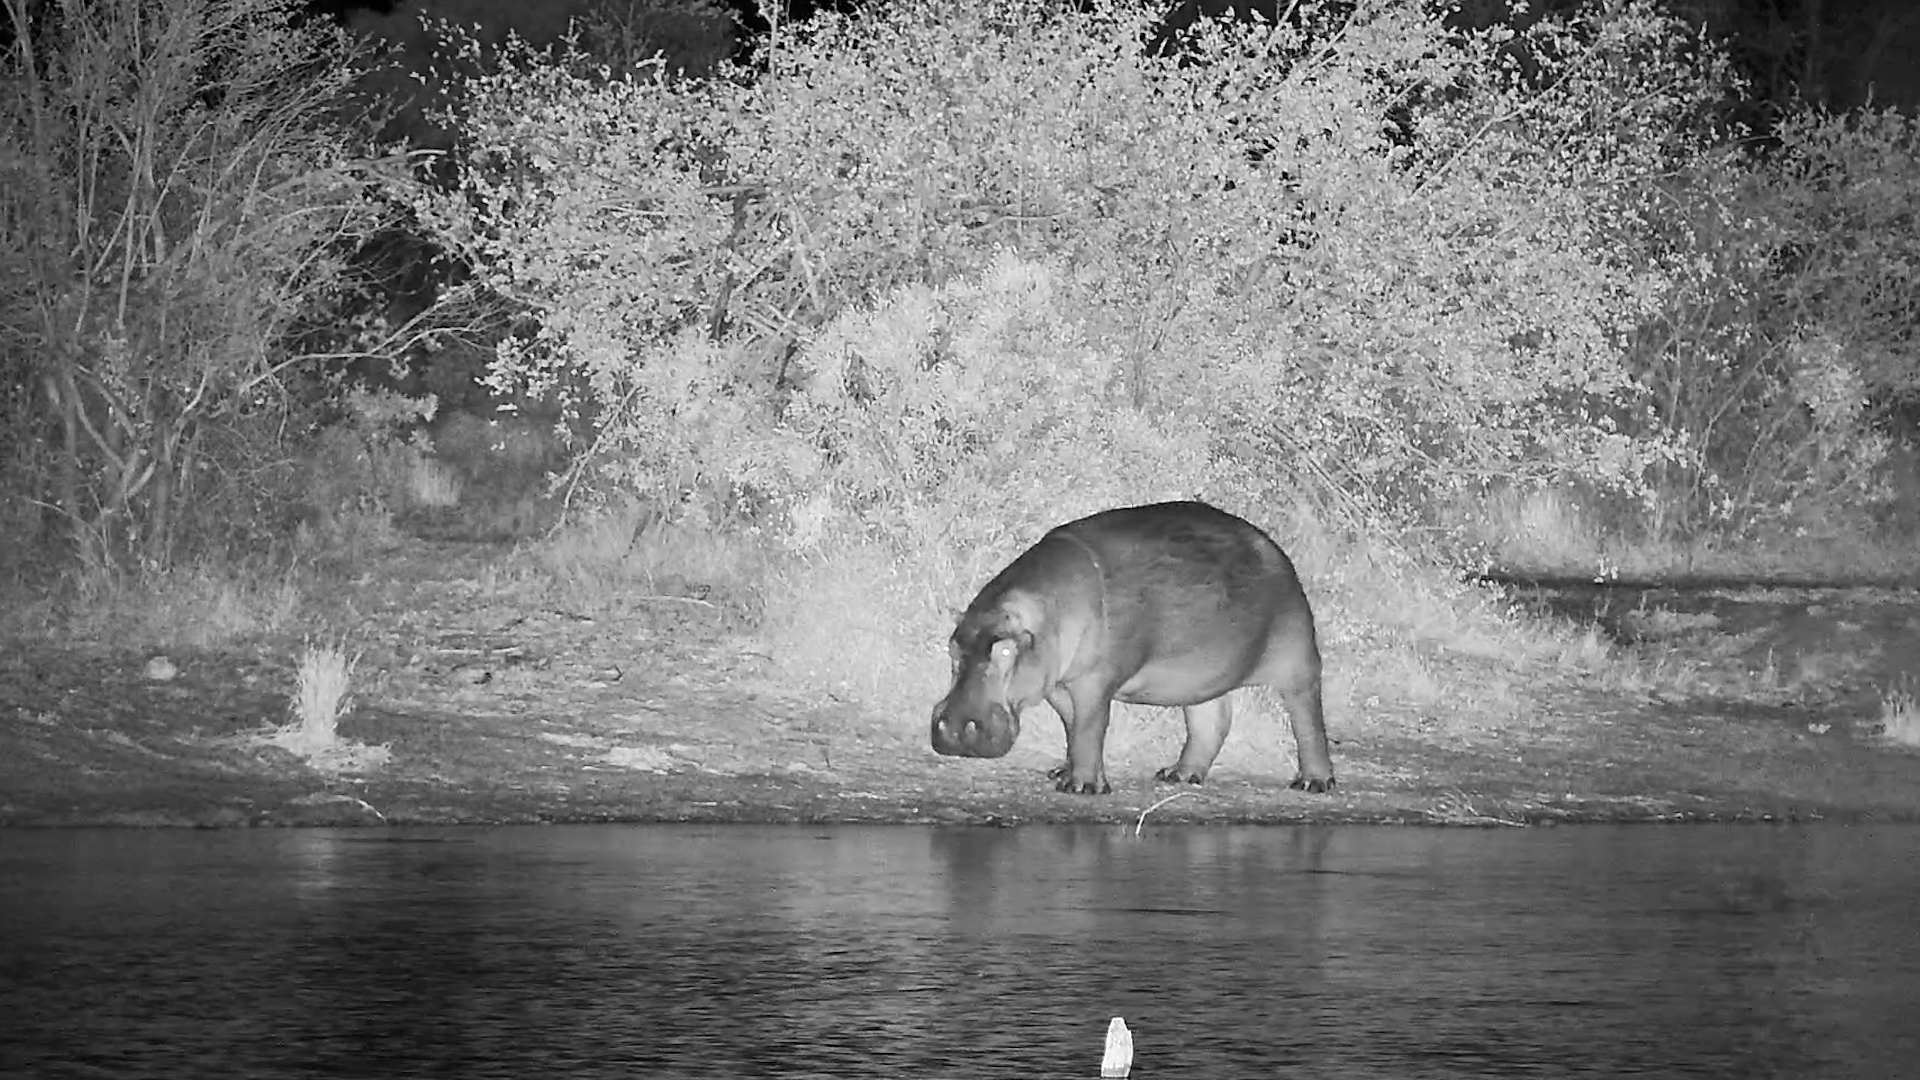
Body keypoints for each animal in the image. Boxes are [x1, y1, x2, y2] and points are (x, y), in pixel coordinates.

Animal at [930, 500, 1335, 795]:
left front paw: (1080, 787)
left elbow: (1091, 726)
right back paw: (1178, 774)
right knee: (1211, 722)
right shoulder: (1058, 683)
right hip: (1202, 677)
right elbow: (1073, 727)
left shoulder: (1096, 679)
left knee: (1308, 718)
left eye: (1004, 651)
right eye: (952, 650)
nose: (953, 728)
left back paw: (1312, 783)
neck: (1048, 610)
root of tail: (1273, 548)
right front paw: (1063, 771)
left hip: (1298, 658)